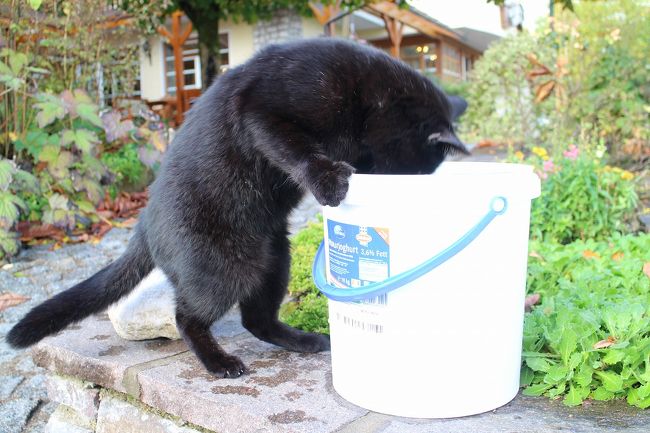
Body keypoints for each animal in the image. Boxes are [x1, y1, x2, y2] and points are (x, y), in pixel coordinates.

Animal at [8, 36, 466, 374]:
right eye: (409, 170)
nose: (390, 187)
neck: (365, 97)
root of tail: (143, 223)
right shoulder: (264, 113)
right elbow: (297, 150)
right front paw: (328, 179)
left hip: (274, 257)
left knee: (255, 319)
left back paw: (303, 340)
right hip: (225, 266)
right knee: (187, 317)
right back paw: (219, 362)